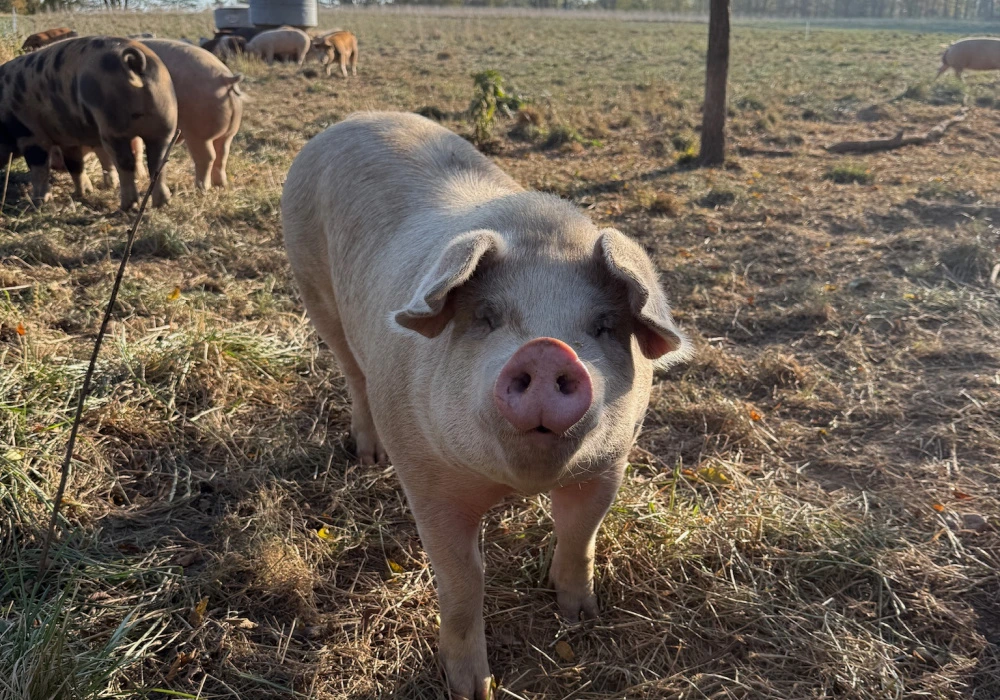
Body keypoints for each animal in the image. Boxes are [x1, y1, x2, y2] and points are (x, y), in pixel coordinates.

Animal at [0, 36, 176, 208]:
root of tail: (134, 63)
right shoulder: (68, 140)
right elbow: (75, 165)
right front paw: (82, 193)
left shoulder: (31, 135)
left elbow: (39, 170)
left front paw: (39, 202)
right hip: (165, 120)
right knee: (158, 162)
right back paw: (162, 204)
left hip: (112, 126)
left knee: (125, 163)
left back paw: (127, 206)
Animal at [278, 112, 692, 696]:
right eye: (488, 317)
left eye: (604, 326)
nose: (546, 349)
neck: (515, 484)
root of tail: (351, 119)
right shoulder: (426, 479)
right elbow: (463, 582)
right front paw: (472, 689)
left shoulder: (611, 461)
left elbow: (579, 534)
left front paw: (581, 618)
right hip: (313, 288)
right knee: (353, 374)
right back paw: (368, 458)